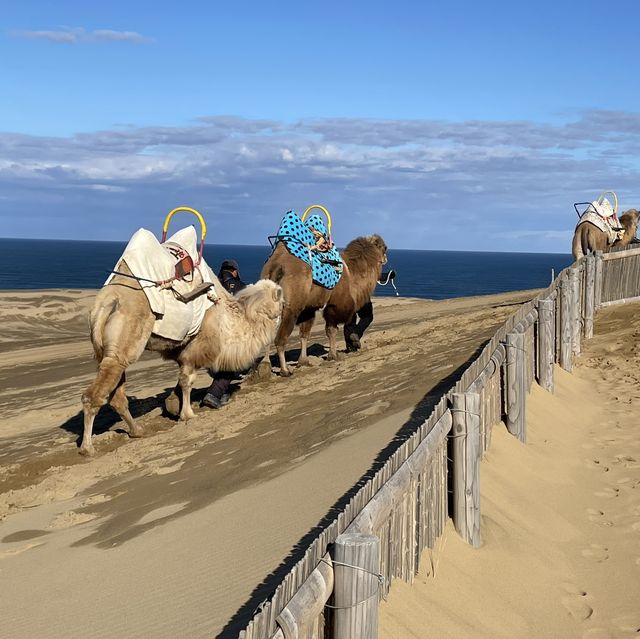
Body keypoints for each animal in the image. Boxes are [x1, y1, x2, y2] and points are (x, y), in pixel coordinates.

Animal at [80, 264, 282, 456]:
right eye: (281, 301)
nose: (283, 313)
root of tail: (106, 302)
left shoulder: (182, 353)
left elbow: (180, 382)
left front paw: (173, 406)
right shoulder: (193, 353)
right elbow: (187, 382)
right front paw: (188, 414)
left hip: (106, 351)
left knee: (117, 397)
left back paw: (137, 430)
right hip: (122, 343)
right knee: (92, 396)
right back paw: (87, 448)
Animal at [262, 234, 390, 376]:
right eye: (384, 247)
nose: (385, 258)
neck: (354, 274)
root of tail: (277, 266)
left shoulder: (309, 309)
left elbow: (305, 335)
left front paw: (304, 361)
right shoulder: (335, 305)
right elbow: (332, 330)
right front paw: (333, 355)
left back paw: (264, 367)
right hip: (291, 308)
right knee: (280, 338)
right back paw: (285, 370)